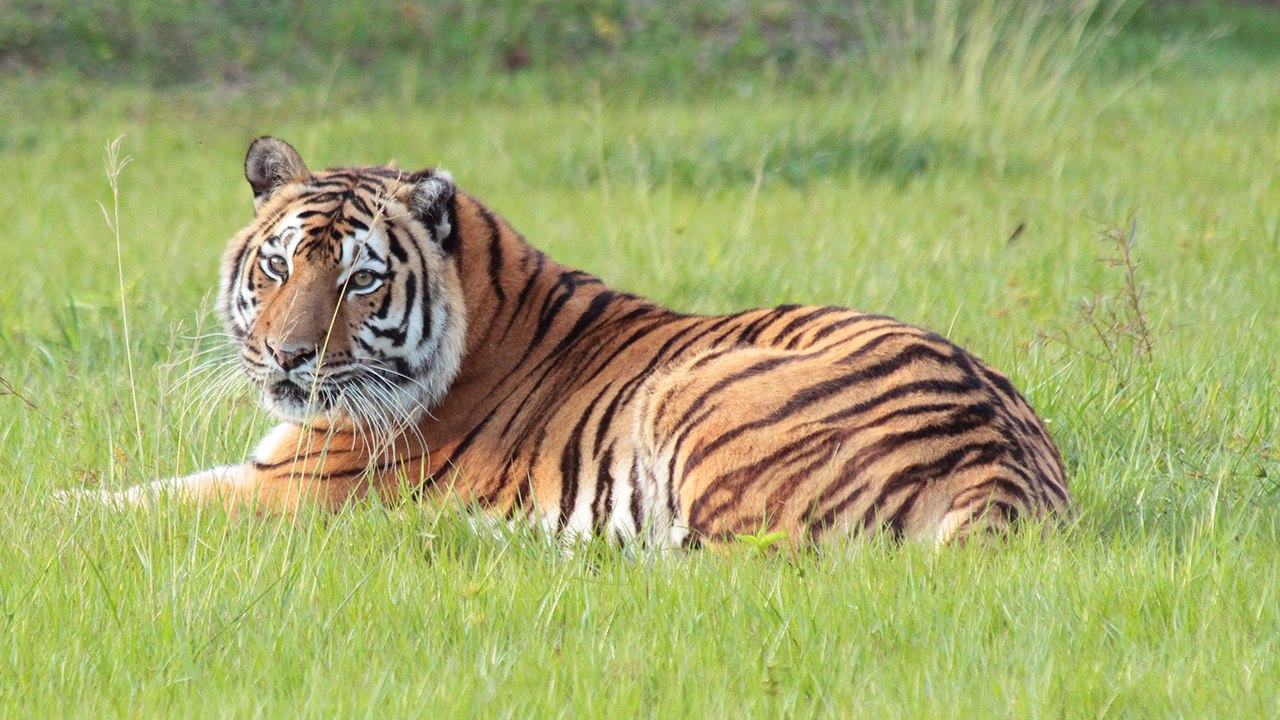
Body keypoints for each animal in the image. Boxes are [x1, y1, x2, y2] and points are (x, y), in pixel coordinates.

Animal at [74, 136, 1070, 548]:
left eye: (360, 280)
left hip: (688, 397)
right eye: (278, 265)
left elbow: (122, 506)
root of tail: (1008, 469)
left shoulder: (293, 489)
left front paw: (52, 518)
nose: (287, 358)